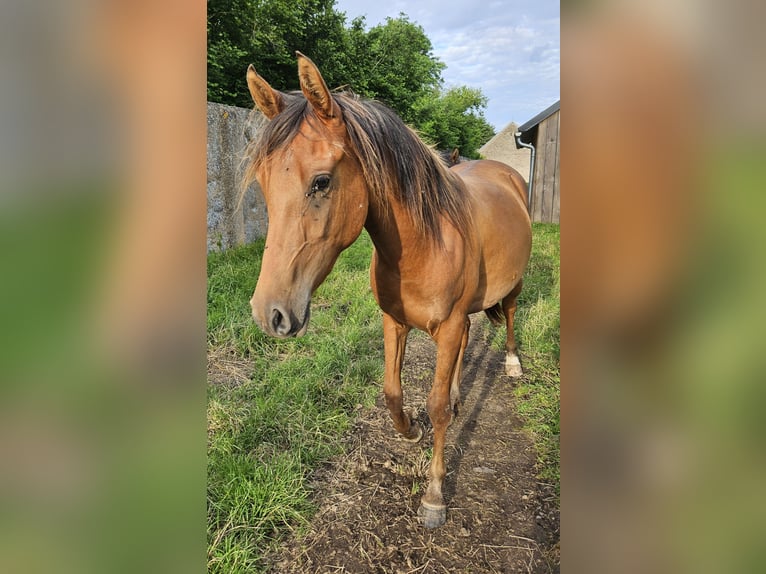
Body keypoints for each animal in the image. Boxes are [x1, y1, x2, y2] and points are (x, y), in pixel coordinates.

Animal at [246, 51, 536, 528]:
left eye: (321, 181)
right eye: (264, 185)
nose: (270, 314)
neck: (427, 240)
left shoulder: (448, 324)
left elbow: (435, 406)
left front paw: (434, 497)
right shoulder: (395, 322)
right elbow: (393, 393)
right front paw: (413, 429)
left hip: (511, 286)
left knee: (509, 315)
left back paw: (512, 364)